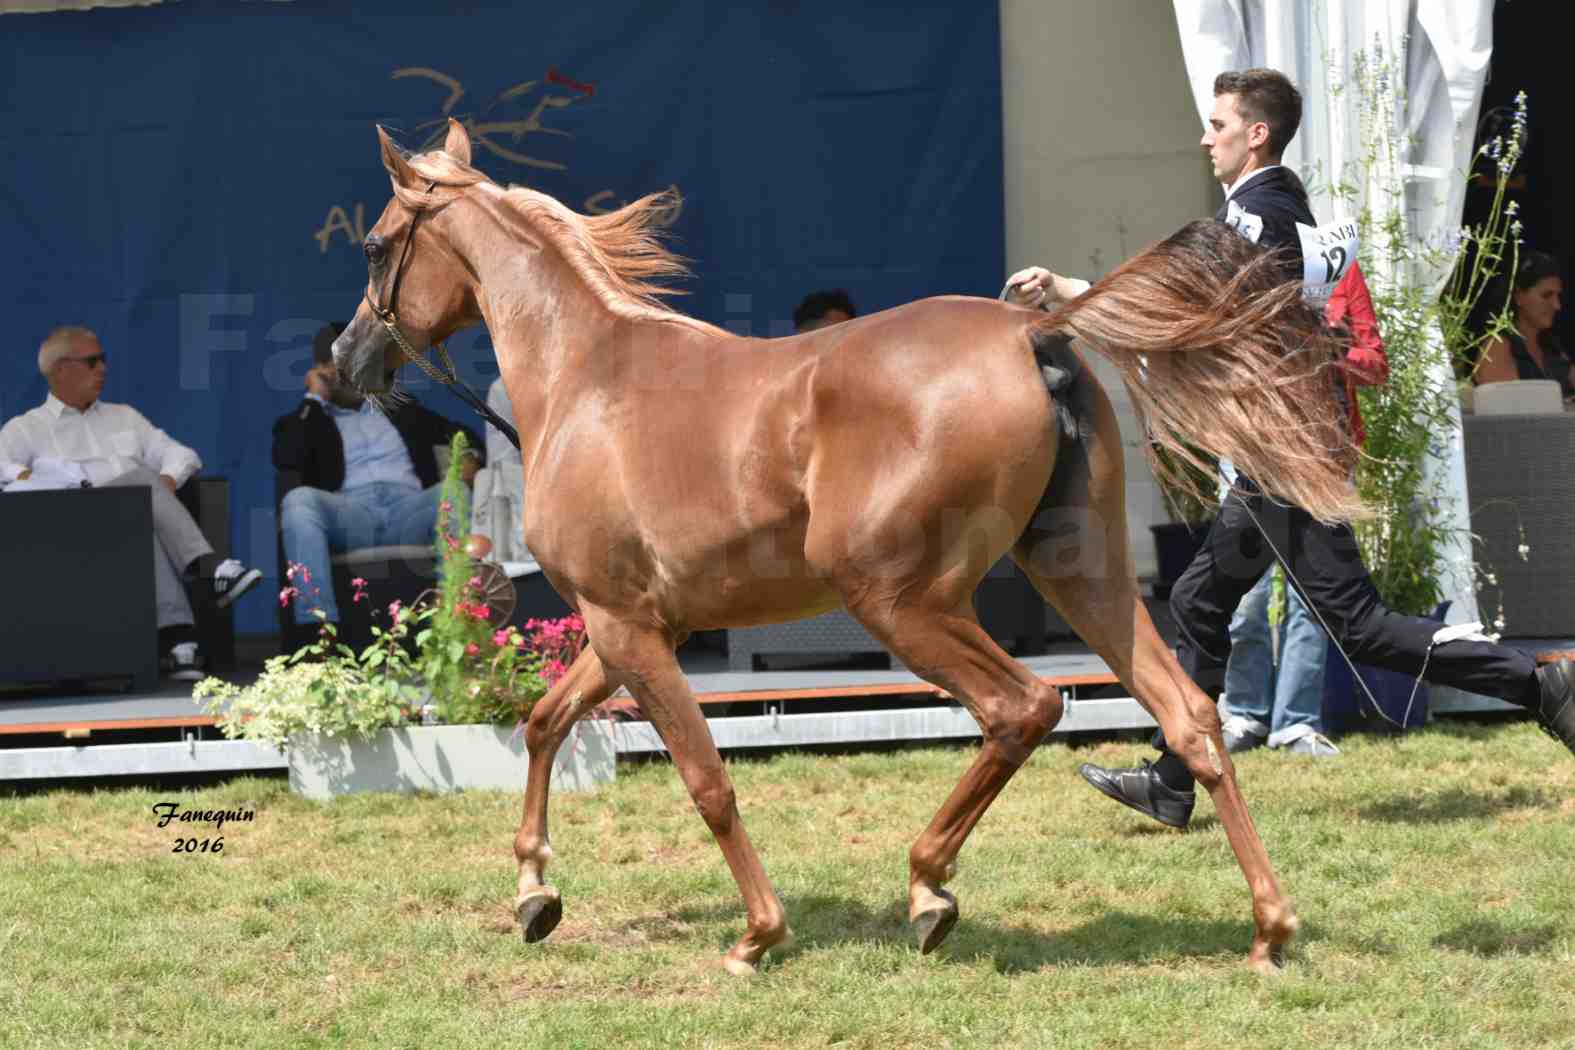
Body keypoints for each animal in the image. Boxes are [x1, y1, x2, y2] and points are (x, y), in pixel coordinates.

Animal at [335, 121, 1367, 976]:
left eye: (377, 245)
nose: (345, 363)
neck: (585, 380)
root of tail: (1032, 330)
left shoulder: (628, 629)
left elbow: (706, 780)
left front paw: (757, 936)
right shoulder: (627, 624)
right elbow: (547, 723)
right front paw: (534, 895)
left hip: (901, 601)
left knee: (1023, 707)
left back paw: (928, 889)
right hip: (1084, 577)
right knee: (1187, 716)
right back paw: (1269, 929)